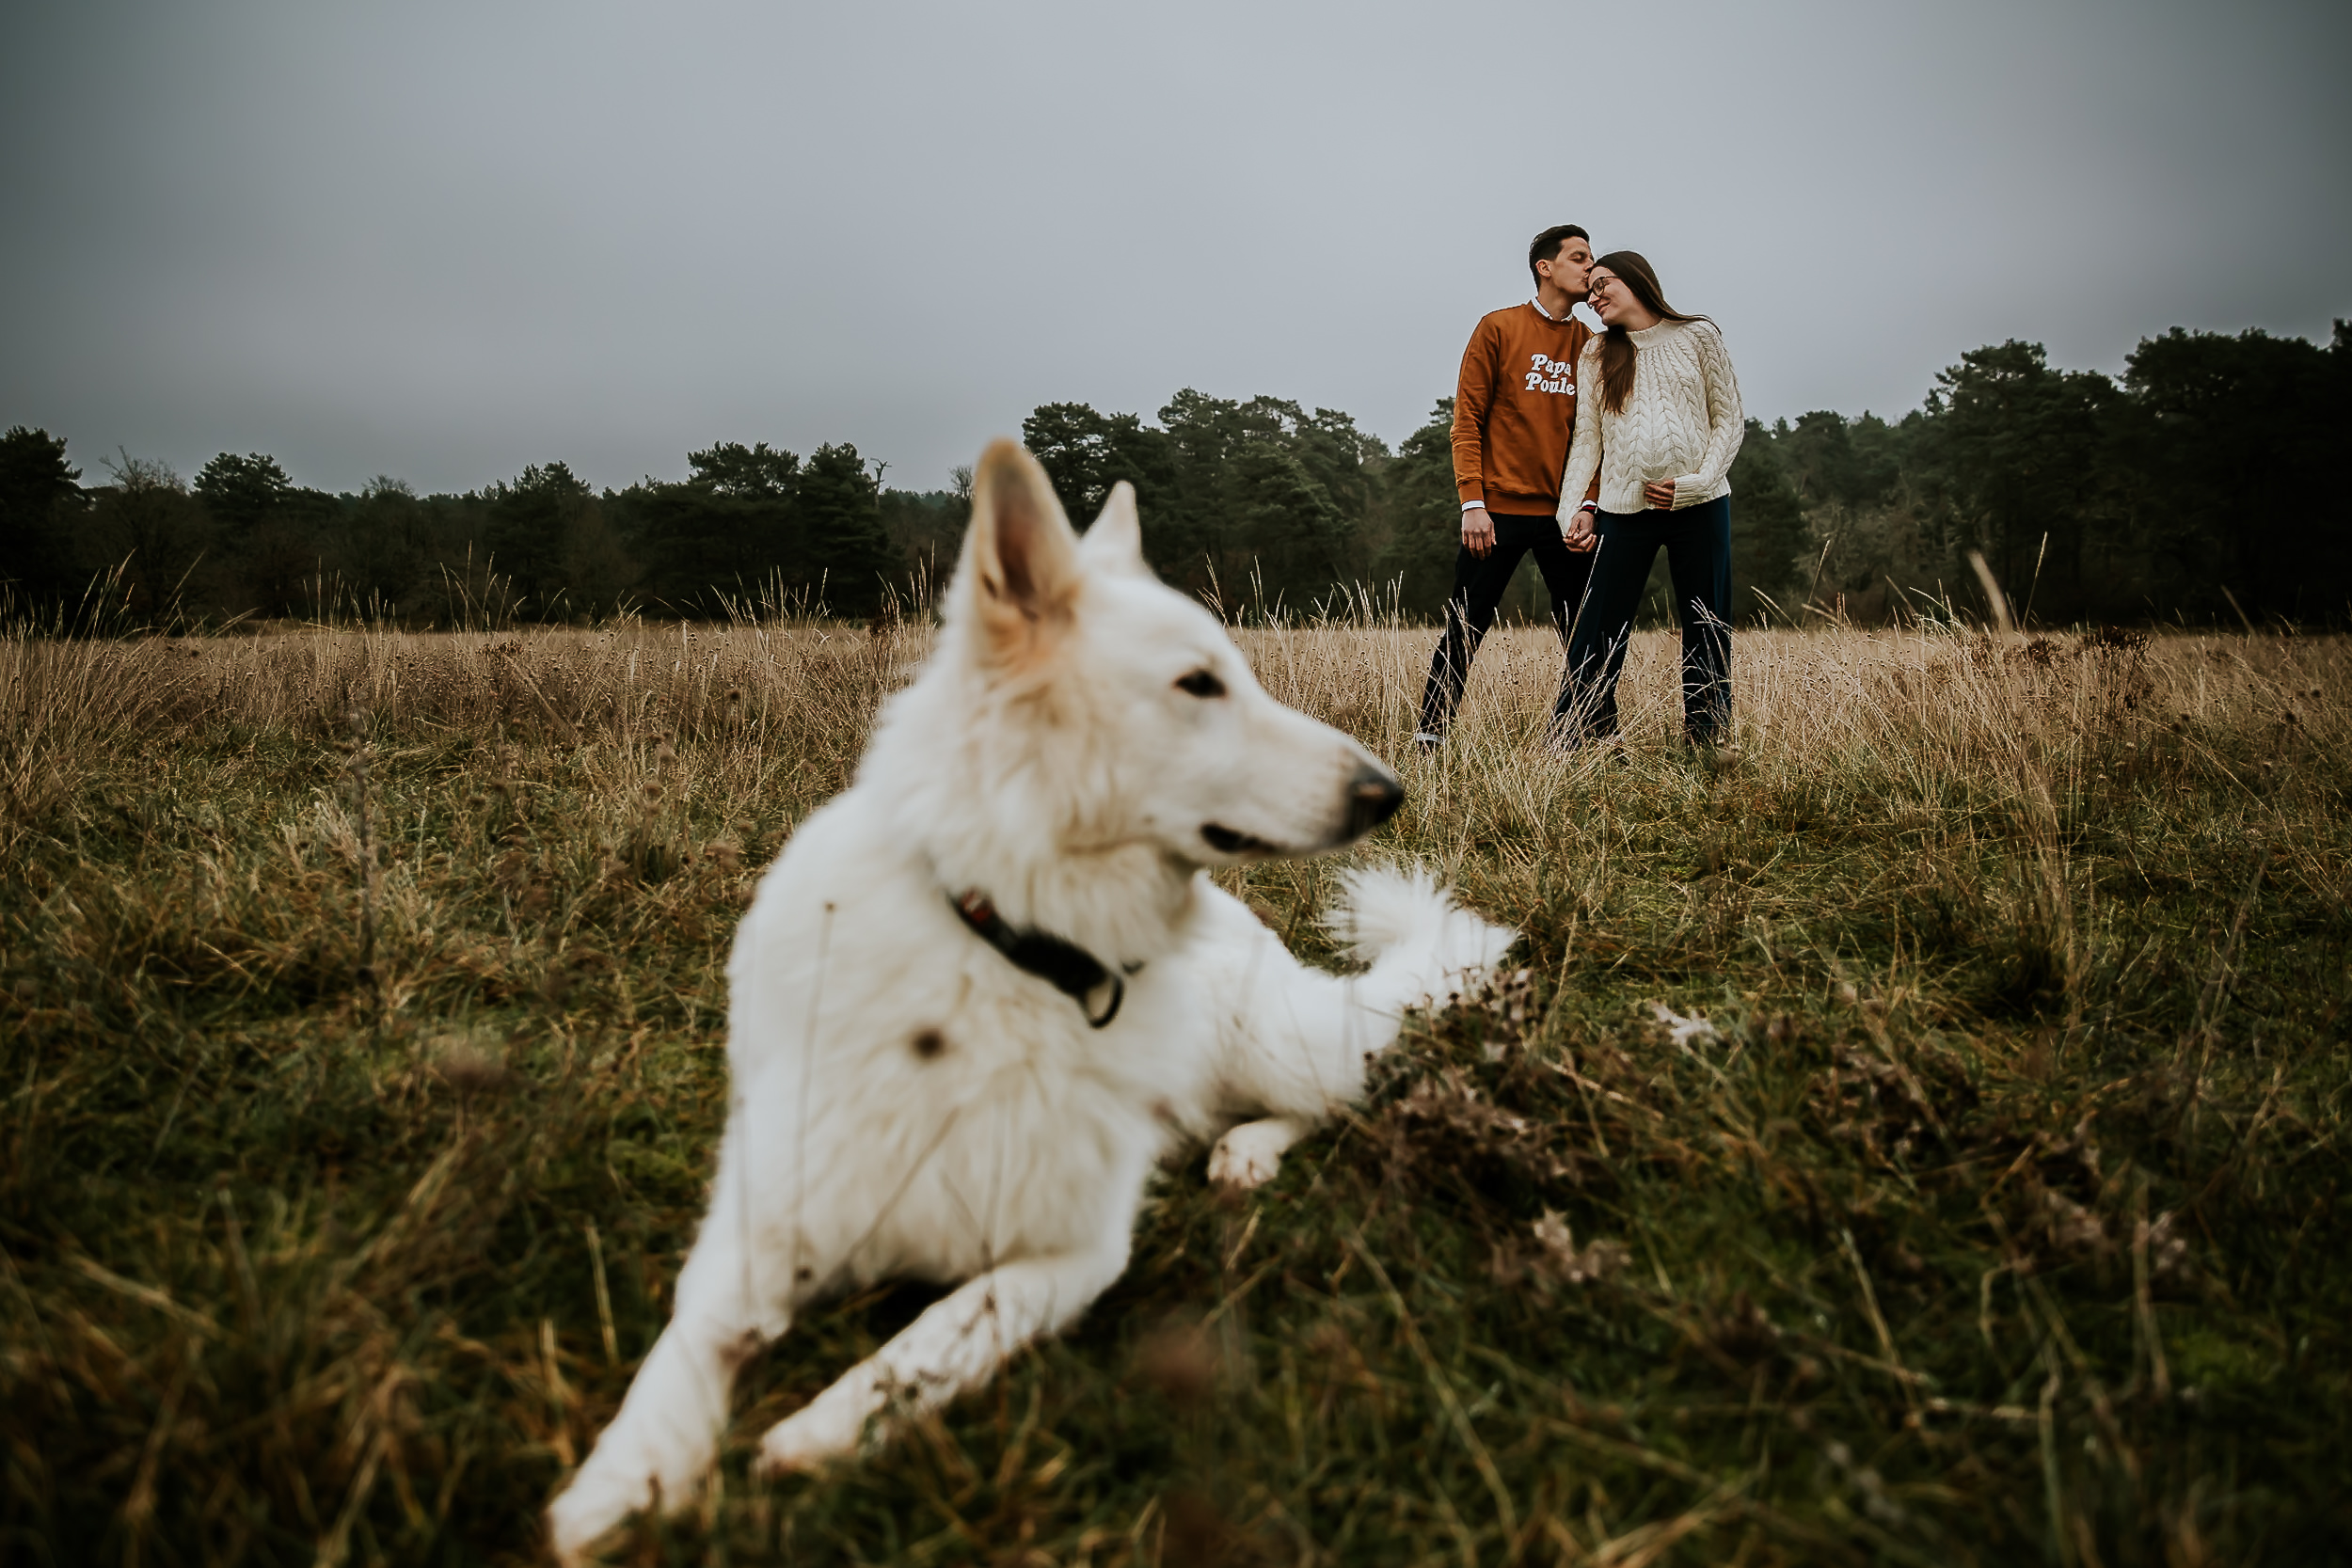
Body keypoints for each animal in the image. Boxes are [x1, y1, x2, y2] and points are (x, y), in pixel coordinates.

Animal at [543, 439, 1515, 1560]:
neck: (1007, 951)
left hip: (1269, 1040)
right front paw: (621, 1481)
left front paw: (815, 1432)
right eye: (1198, 683)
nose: (1386, 790)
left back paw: (1246, 1151)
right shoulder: (765, 1215)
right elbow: (684, 1348)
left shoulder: (1072, 1254)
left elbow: (939, 1334)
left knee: (1334, 1093)